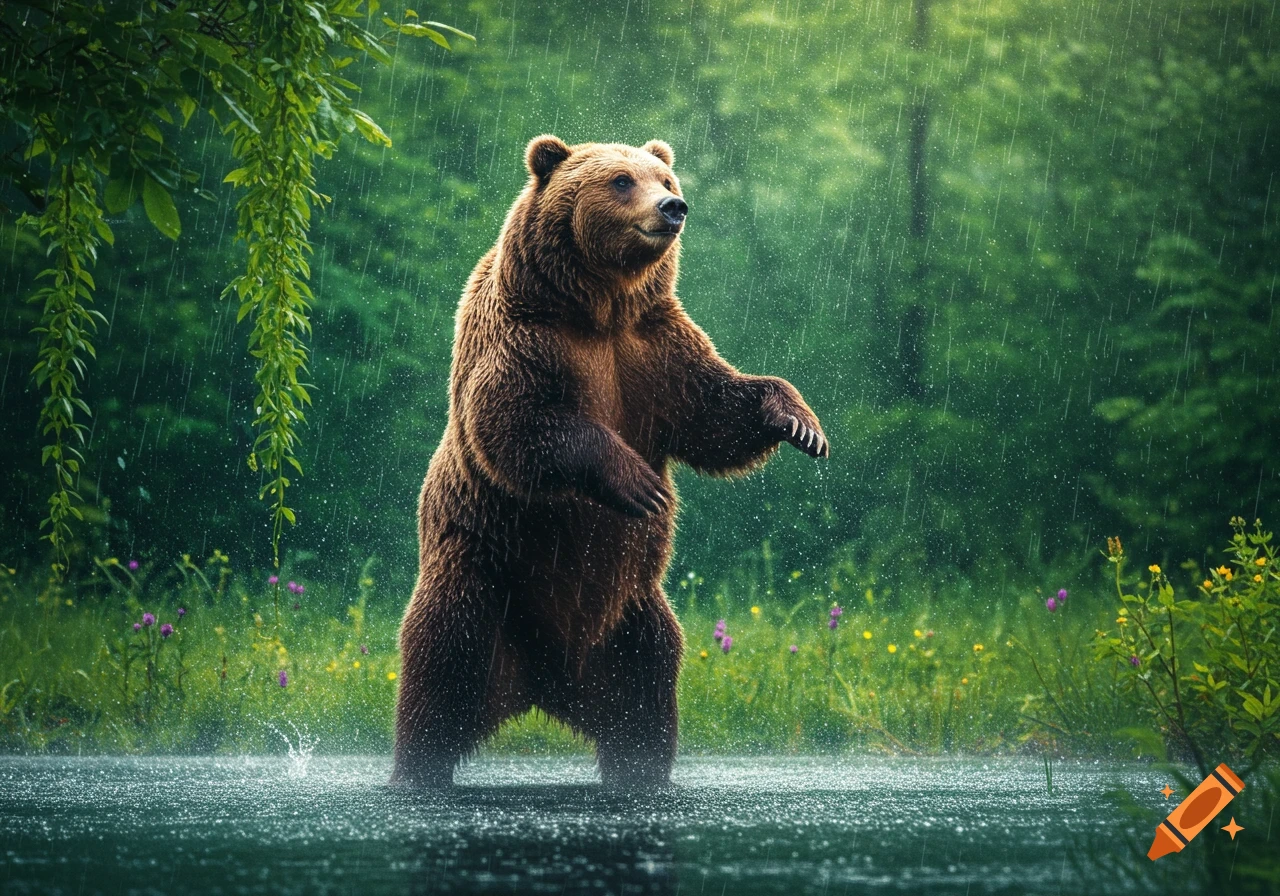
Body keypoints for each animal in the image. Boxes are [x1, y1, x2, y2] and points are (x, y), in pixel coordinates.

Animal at [392, 135, 828, 787]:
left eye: (665, 176)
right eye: (621, 180)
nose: (674, 207)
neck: (599, 309)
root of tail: (541, 684)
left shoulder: (656, 349)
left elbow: (717, 411)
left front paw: (800, 422)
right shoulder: (524, 339)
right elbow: (516, 424)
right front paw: (640, 483)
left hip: (628, 617)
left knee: (647, 684)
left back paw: (639, 769)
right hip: (482, 576)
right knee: (441, 667)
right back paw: (417, 770)